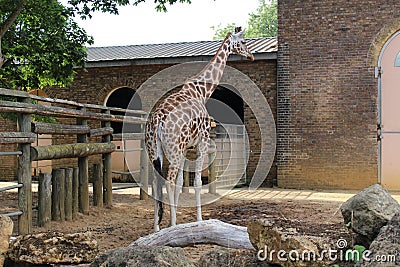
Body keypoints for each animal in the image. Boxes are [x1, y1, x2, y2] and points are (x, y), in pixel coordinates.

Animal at [146, 27, 253, 232]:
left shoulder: (187, 148)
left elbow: (181, 183)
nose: (251, 56)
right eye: (243, 42)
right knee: (167, 180)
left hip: (155, 150)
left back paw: (156, 228)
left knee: (156, 182)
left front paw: (174, 220)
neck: (201, 92)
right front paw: (199, 220)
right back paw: (170, 225)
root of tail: (157, 121)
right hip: (173, 150)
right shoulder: (201, 144)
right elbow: (196, 182)